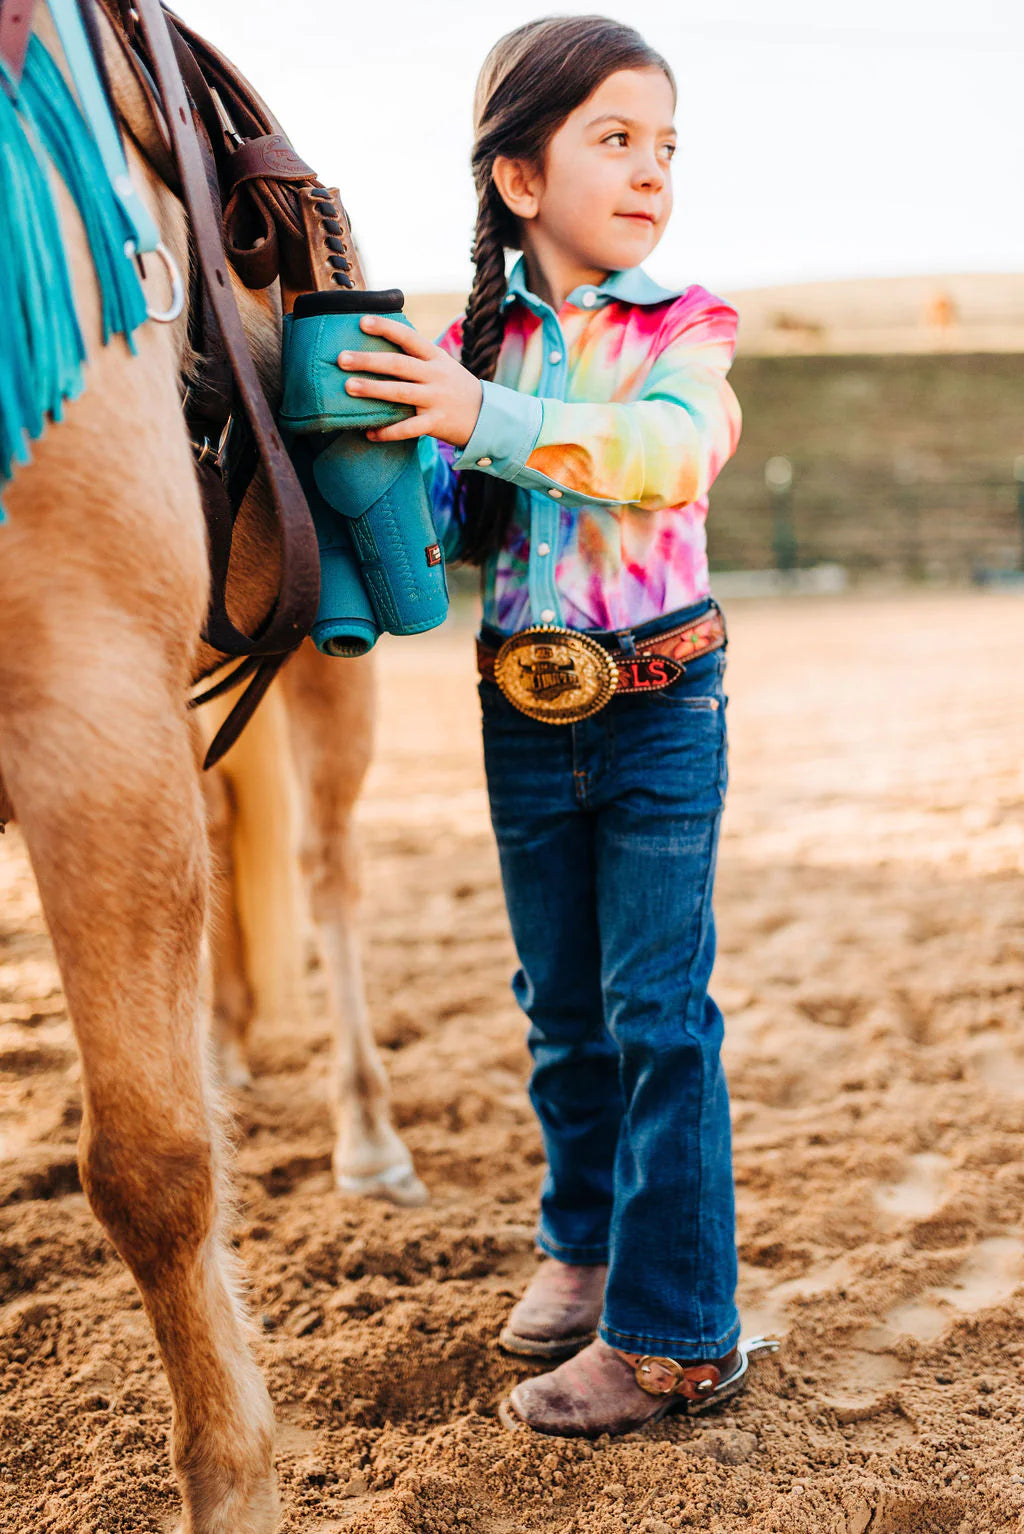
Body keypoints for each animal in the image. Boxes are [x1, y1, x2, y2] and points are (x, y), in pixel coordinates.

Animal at [0, 5, 420, 1527]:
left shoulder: (86, 709)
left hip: (324, 670)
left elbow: (151, 1165)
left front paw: (231, 1481)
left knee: (327, 872)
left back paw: (363, 1133)